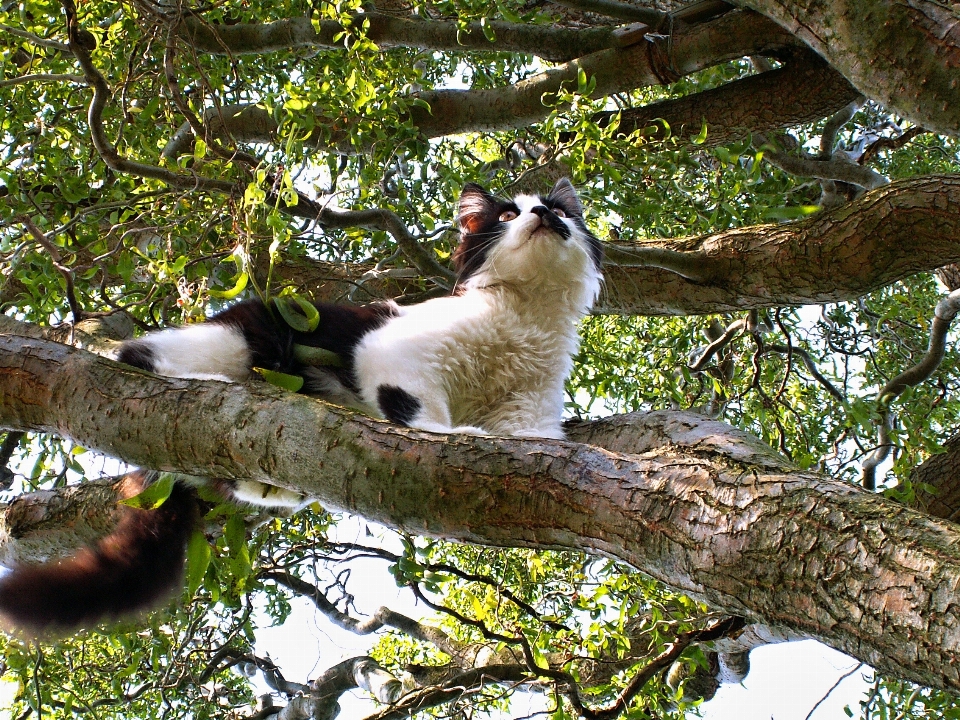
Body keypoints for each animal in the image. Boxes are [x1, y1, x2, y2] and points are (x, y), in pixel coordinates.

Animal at [0, 180, 604, 636]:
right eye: (507, 213)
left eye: (560, 212)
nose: (544, 212)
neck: (523, 318)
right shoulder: (395, 351)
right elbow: (418, 409)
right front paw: (449, 433)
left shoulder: (530, 406)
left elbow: (534, 441)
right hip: (244, 335)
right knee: (139, 356)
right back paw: (200, 381)